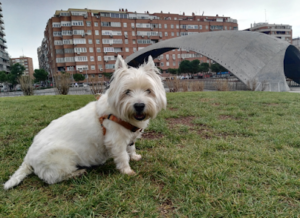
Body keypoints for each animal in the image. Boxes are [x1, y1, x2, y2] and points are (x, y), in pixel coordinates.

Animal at [4, 55, 166, 189]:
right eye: (127, 92)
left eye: (148, 90)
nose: (139, 105)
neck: (122, 115)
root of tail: (28, 156)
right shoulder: (116, 141)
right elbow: (122, 156)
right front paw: (127, 171)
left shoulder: (130, 138)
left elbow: (131, 148)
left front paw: (135, 157)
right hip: (61, 159)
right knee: (53, 178)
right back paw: (78, 172)